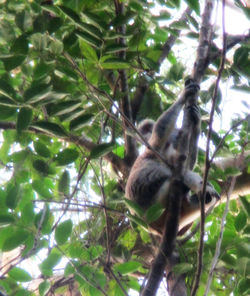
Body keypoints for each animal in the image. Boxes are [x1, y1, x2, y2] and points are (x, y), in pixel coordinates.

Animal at [125, 79, 219, 236]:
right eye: (177, 134)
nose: (178, 136)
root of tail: (155, 228)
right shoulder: (157, 147)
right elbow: (161, 130)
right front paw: (186, 93)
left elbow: (186, 160)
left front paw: (196, 119)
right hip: (158, 202)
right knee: (182, 176)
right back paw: (205, 192)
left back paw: (206, 197)